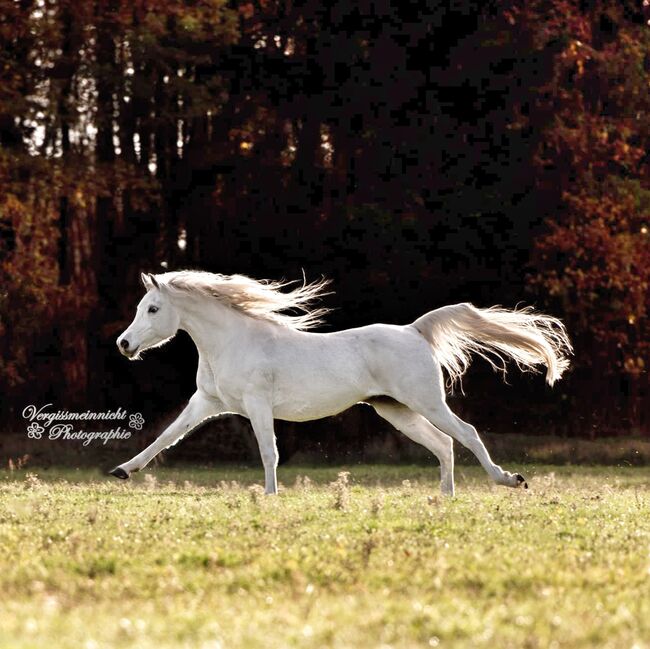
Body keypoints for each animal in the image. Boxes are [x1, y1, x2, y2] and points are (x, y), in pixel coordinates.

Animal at [114, 270, 568, 494]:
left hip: (426, 401)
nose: (124, 344)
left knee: (467, 433)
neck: (231, 341)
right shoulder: (206, 402)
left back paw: (510, 480)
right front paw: (122, 470)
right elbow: (165, 437)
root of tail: (414, 330)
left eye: (153, 308)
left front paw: (270, 496)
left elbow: (268, 453)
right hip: (396, 410)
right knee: (443, 444)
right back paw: (445, 497)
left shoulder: (258, 406)